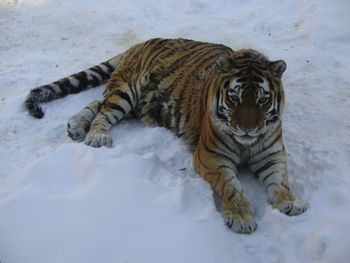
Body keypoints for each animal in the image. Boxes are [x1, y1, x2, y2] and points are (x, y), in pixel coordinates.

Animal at [24, 38, 308, 234]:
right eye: (234, 98)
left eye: (262, 100)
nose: (247, 129)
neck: (247, 143)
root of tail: (141, 42)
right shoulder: (210, 156)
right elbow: (230, 186)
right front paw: (241, 217)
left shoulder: (273, 153)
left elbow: (281, 181)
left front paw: (290, 203)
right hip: (127, 92)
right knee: (103, 110)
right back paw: (96, 136)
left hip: (134, 104)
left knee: (96, 103)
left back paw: (76, 125)